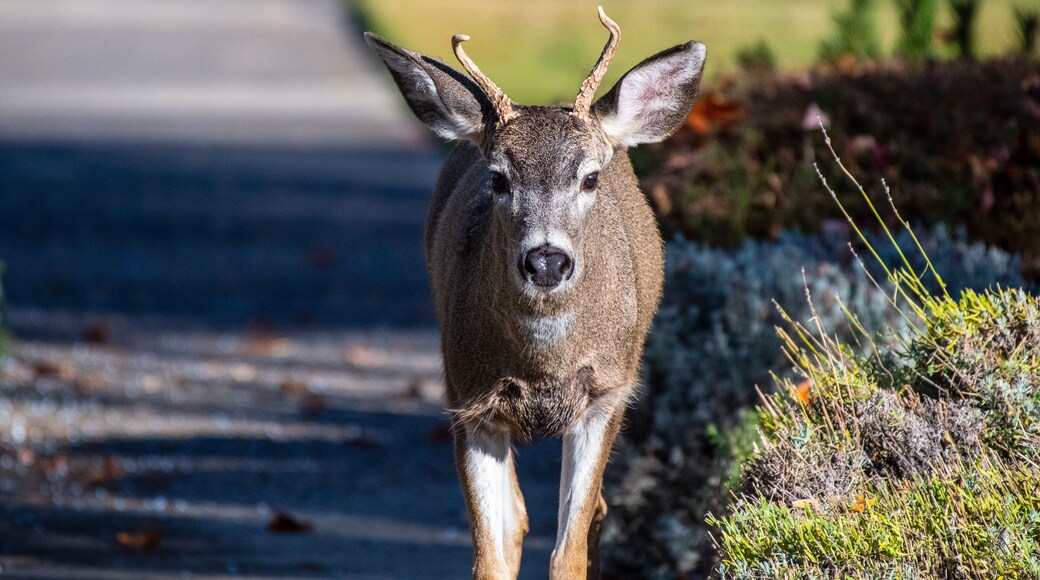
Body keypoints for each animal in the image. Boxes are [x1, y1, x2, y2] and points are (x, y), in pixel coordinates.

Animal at [365, 8, 705, 579]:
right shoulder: (468, 398)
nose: (547, 260)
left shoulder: (606, 392)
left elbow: (570, 552)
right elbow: (492, 555)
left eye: (590, 178)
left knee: (595, 513)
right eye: (499, 179)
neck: (544, 364)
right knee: (519, 518)